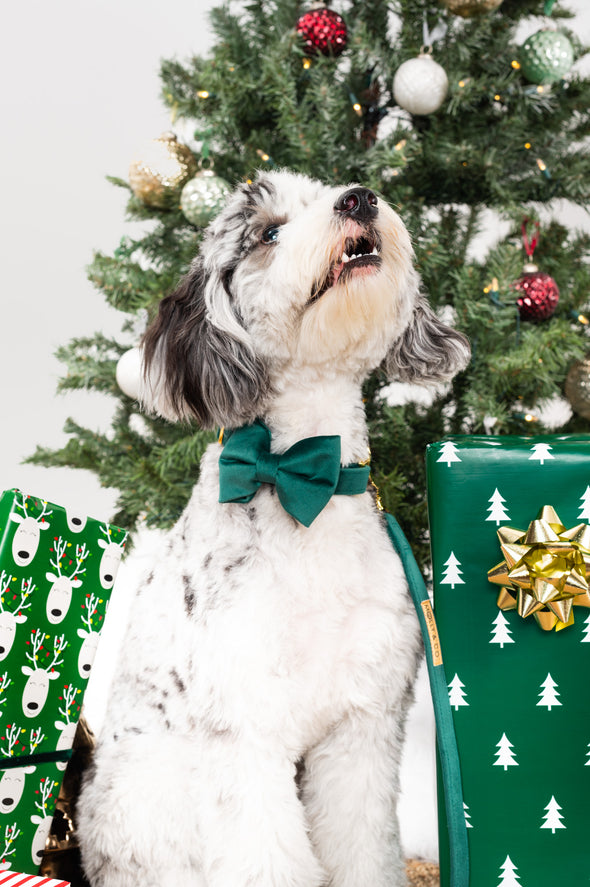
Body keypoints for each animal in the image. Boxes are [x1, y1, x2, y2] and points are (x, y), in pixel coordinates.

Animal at [77, 168, 472, 887]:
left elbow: (360, 843)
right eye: (267, 232)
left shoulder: (362, 727)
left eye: (331, 193)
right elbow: (265, 855)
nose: (360, 198)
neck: (306, 482)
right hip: (144, 799)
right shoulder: (242, 731)